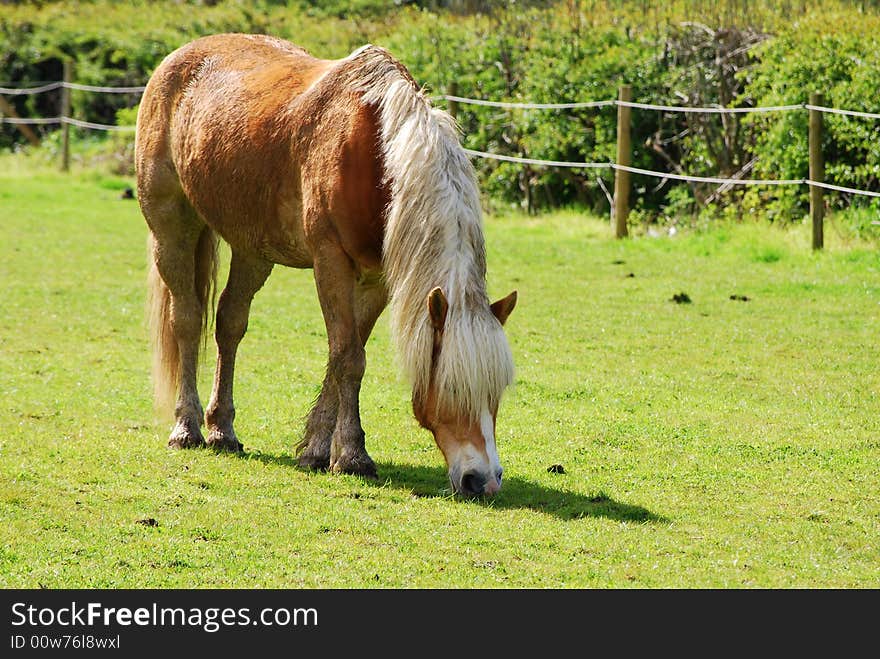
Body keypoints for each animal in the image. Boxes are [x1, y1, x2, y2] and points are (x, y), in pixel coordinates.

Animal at [136, 32, 516, 496]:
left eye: (496, 394)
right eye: (453, 389)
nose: (485, 479)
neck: (375, 154)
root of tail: (177, 57)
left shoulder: (376, 278)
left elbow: (347, 356)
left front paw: (317, 449)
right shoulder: (330, 260)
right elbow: (349, 357)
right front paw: (352, 456)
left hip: (253, 249)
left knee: (230, 323)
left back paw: (222, 430)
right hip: (172, 227)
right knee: (187, 320)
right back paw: (187, 428)